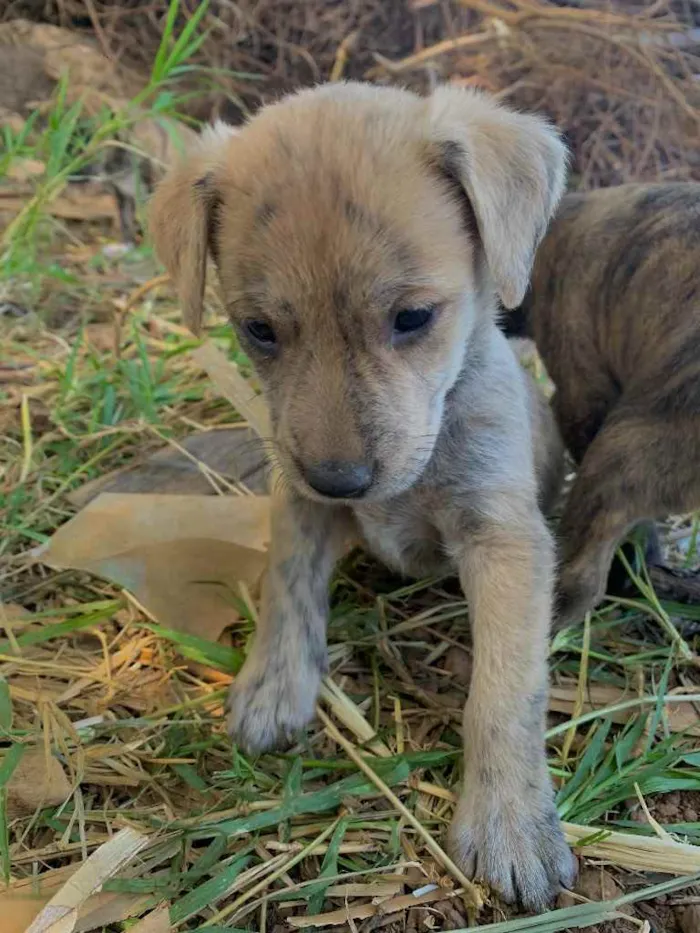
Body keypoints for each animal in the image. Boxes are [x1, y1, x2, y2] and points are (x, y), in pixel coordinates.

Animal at [148, 82, 576, 912]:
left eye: (412, 318)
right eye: (258, 329)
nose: (341, 478)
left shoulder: (505, 538)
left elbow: (504, 690)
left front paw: (509, 822)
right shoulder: (299, 500)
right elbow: (287, 590)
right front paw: (273, 687)